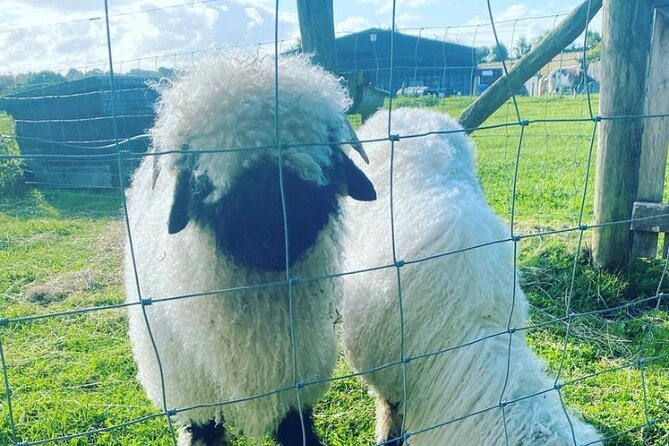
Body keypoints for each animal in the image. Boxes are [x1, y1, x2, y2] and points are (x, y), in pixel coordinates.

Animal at [124, 50, 376, 444]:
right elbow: (203, 431)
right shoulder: (195, 395)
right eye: (205, 177)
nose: (274, 235)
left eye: (316, 161)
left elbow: (296, 430)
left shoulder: (294, 383)